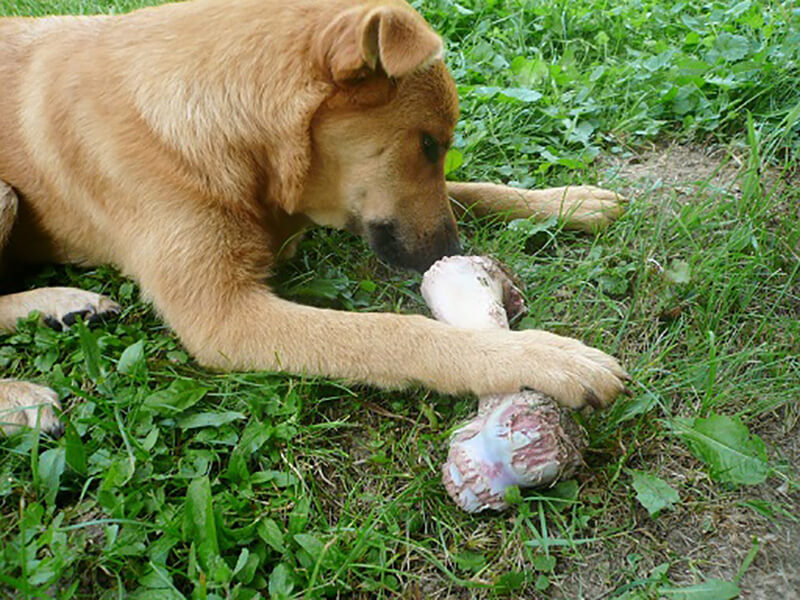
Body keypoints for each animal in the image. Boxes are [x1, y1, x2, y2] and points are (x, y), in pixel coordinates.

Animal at [0, 0, 628, 434]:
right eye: (426, 143)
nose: (450, 253)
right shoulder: (224, 318)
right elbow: (394, 333)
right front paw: (540, 356)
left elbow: (470, 189)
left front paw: (565, 202)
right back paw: (21, 395)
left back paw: (62, 305)